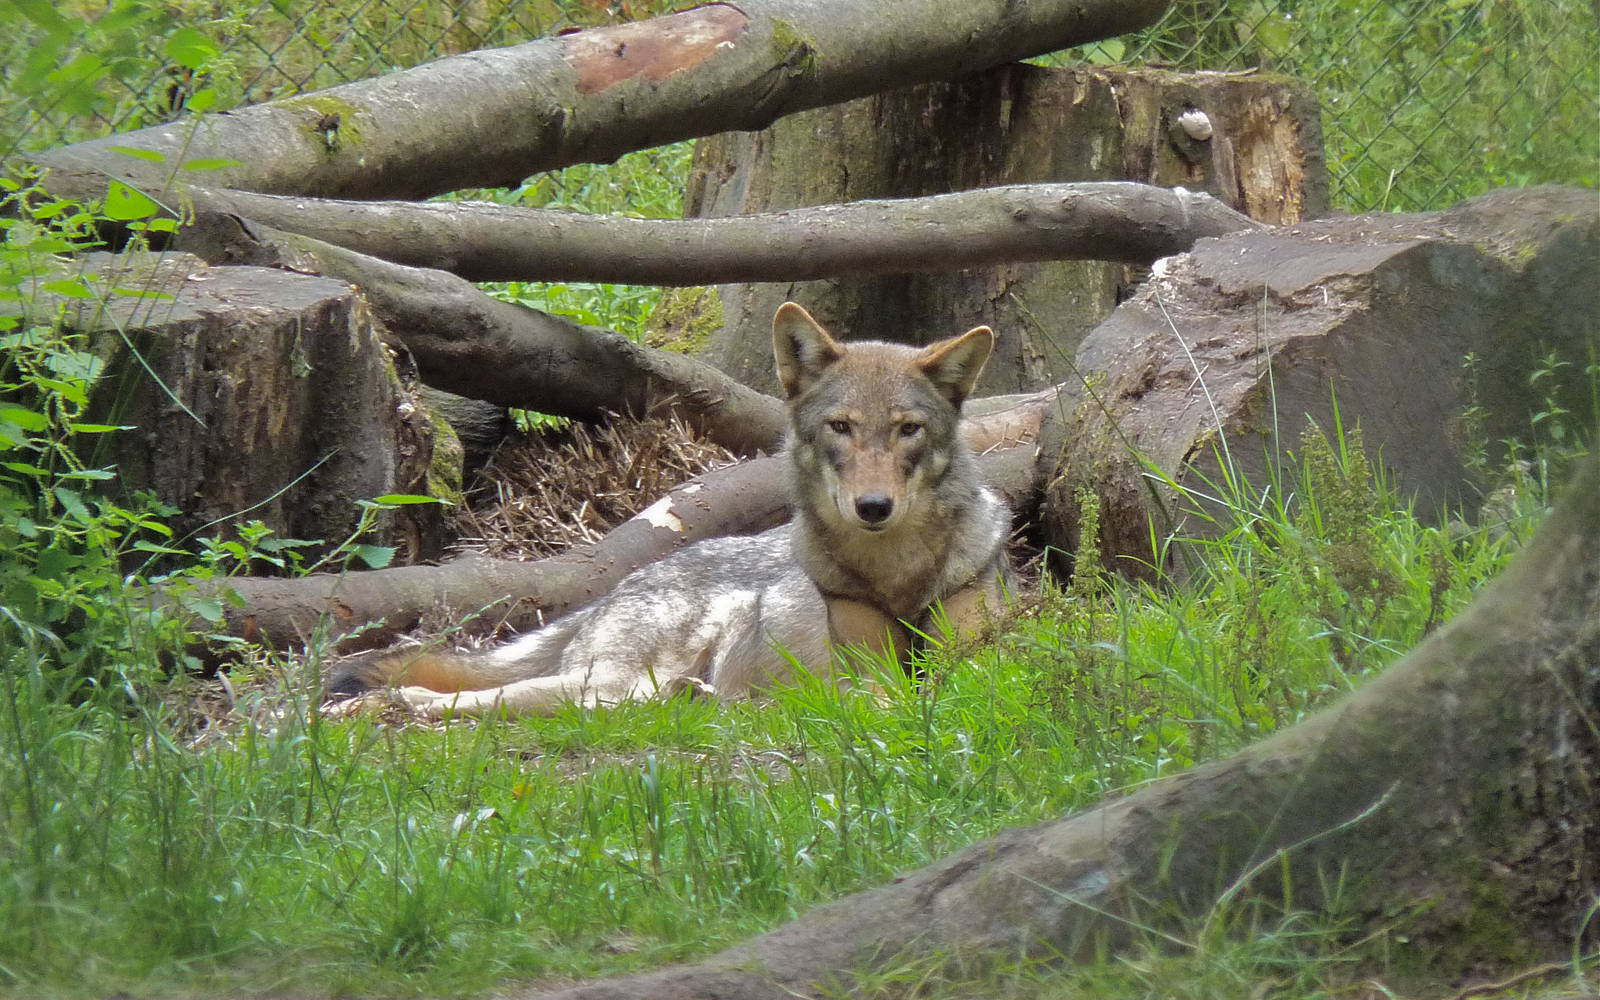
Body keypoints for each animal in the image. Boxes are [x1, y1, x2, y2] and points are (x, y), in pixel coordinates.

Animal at [326, 302, 1011, 718]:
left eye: (907, 430)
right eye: (841, 427)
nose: (873, 506)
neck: (896, 576)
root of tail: (617, 588)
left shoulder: (984, 667)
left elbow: (959, 678)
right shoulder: (858, 677)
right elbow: (883, 693)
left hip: (626, 692)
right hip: (615, 682)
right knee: (493, 695)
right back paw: (395, 705)